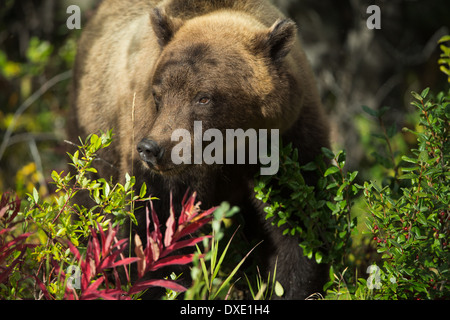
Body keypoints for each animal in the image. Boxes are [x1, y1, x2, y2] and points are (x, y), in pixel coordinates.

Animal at [70, 0, 330, 300]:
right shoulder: (165, 170)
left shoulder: (288, 143)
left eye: (203, 97)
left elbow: (298, 228)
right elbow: (156, 229)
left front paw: (295, 285)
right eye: (158, 95)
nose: (151, 149)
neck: (233, 149)